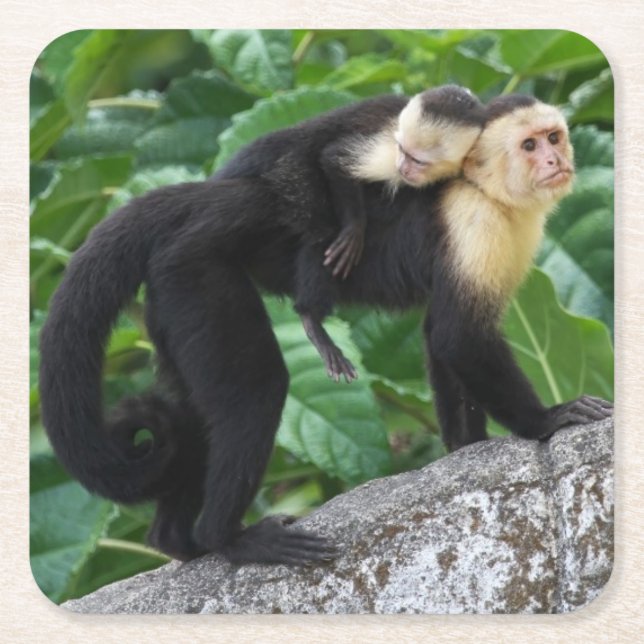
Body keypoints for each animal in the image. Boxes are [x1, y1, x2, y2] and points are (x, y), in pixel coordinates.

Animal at [212, 85, 486, 382]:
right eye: (403, 151)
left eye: (418, 160)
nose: (403, 168)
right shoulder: (387, 147)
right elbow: (335, 160)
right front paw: (355, 229)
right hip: (290, 171)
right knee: (320, 226)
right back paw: (311, 318)